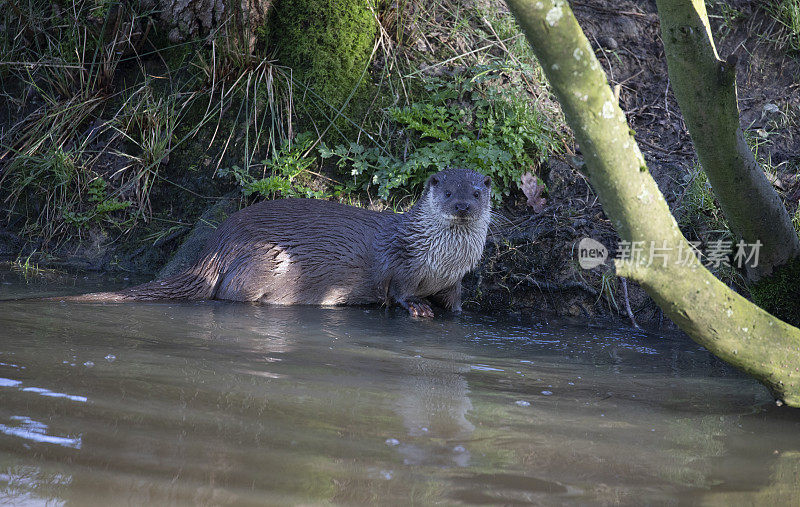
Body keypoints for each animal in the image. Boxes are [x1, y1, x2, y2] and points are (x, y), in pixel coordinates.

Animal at [59, 168, 490, 318]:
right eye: (448, 192)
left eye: (477, 192)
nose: (463, 206)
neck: (440, 259)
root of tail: (217, 243)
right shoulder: (401, 265)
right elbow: (398, 292)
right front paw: (418, 307)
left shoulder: (454, 280)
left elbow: (455, 302)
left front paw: (458, 316)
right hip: (268, 257)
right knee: (229, 294)